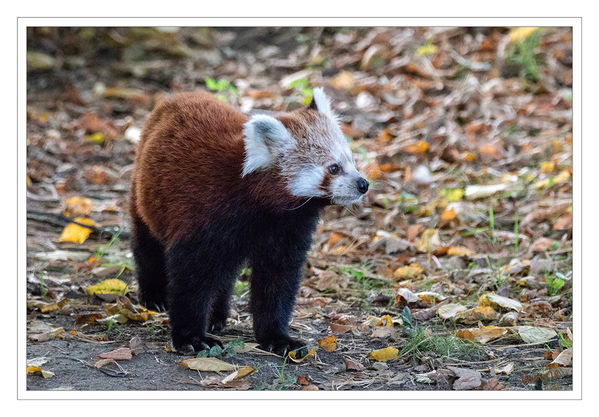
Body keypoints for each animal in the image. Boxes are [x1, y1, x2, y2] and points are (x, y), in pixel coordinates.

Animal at [129, 87, 368, 354]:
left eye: (350, 160)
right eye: (333, 168)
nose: (363, 184)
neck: (265, 210)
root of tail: (182, 94)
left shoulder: (288, 230)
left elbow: (277, 282)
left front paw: (277, 337)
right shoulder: (203, 216)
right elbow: (192, 279)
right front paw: (192, 337)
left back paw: (216, 316)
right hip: (144, 193)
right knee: (148, 246)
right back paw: (154, 296)